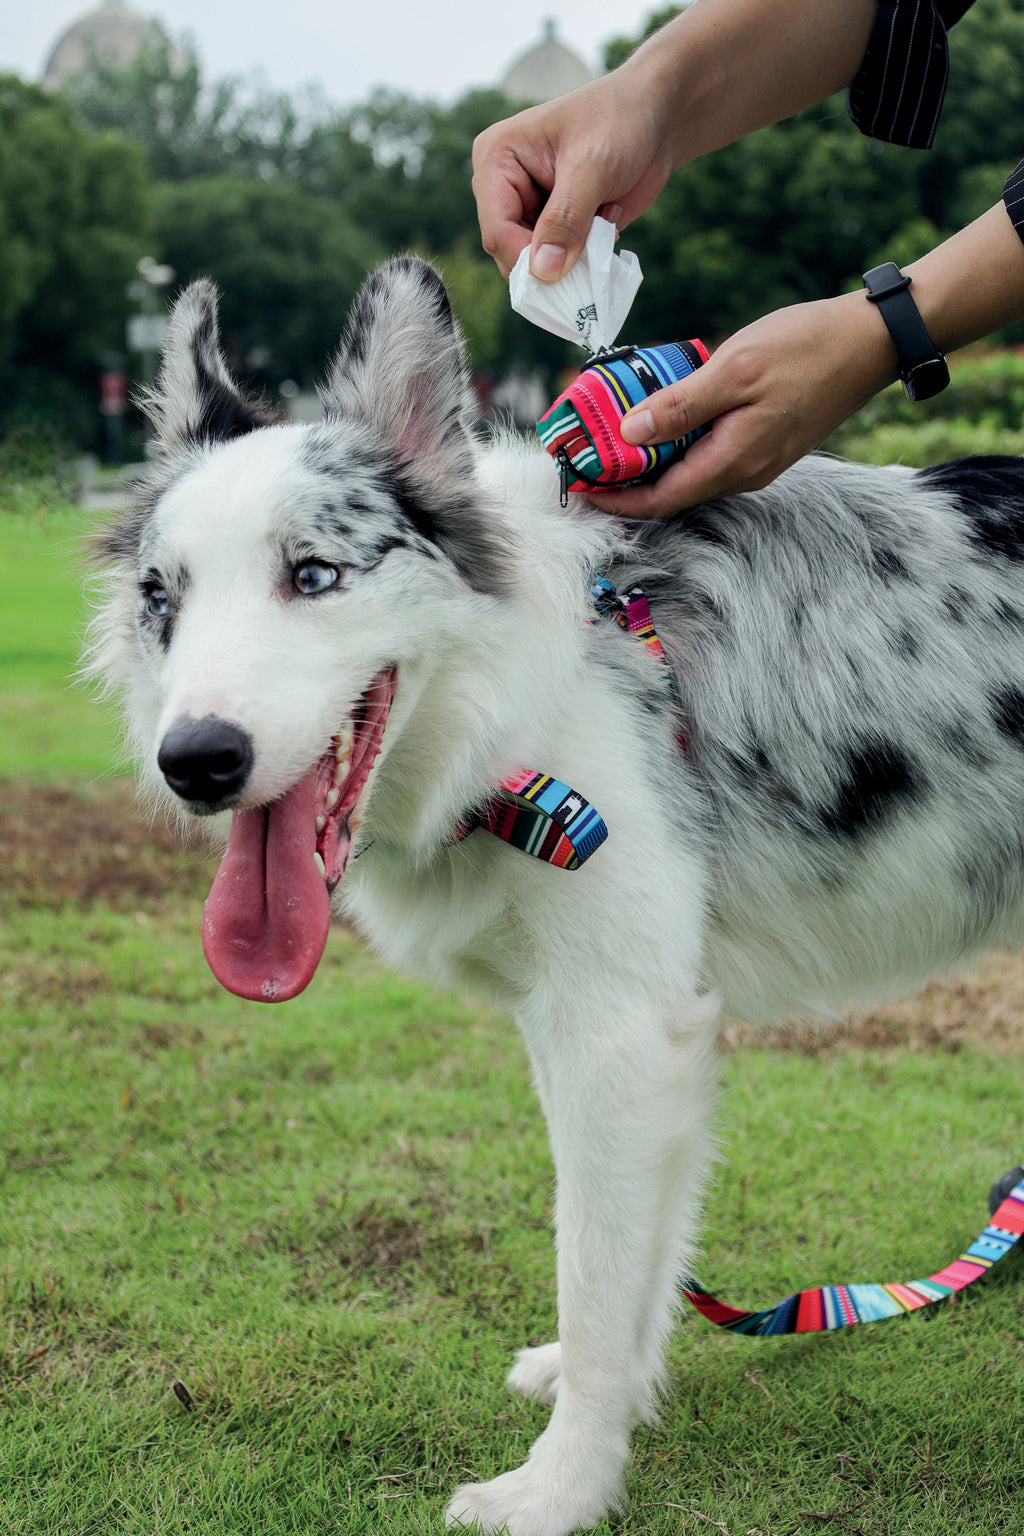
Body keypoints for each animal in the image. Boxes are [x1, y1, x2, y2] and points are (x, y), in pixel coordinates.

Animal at [85, 258, 1024, 1529]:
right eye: (158, 595)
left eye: (314, 575)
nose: (196, 762)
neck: (530, 684)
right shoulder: (621, 1025)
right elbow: (641, 1257)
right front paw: (622, 1397)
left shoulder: (616, 1028)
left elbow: (591, 1263)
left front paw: (562, 1488)